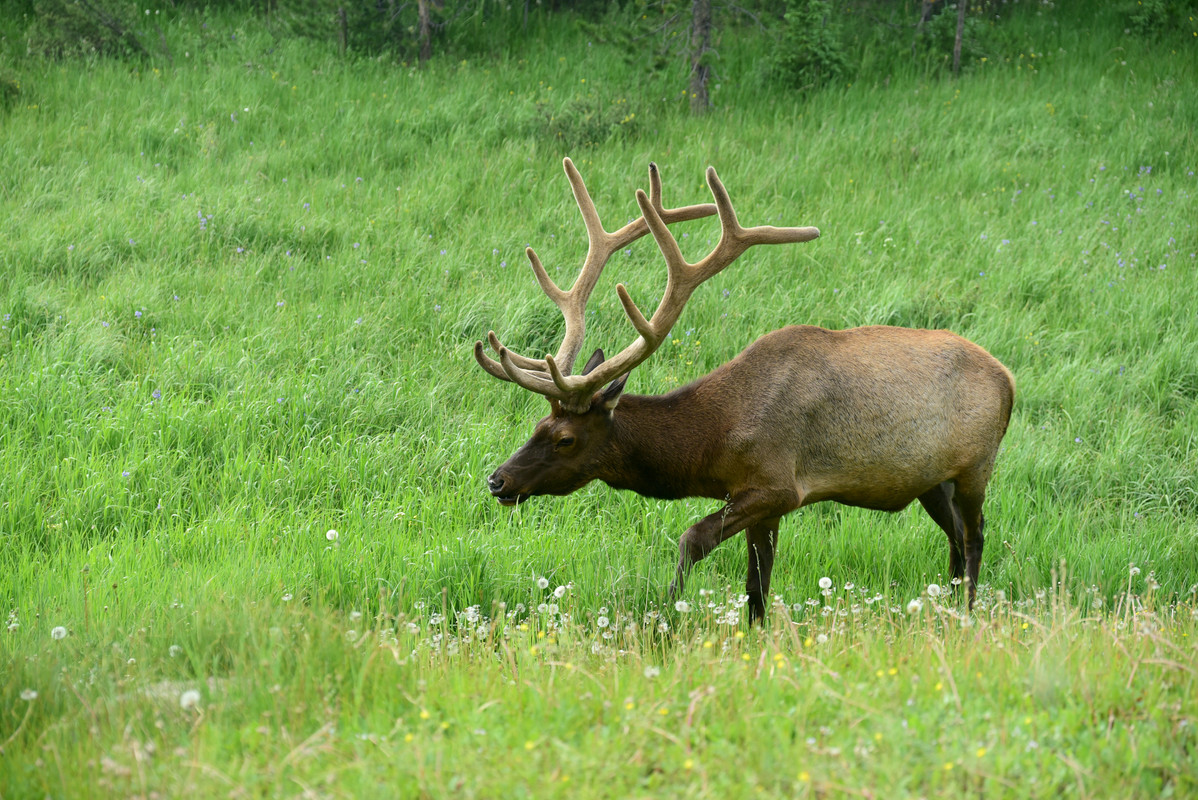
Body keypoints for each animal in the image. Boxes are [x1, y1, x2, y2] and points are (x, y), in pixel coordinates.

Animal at [472, 155, 1015, 617]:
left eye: (566, 439)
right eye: (537, 424)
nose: (498, 480)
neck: (716, 441)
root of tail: (1010, 380)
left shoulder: (778, 486)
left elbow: (693, 540)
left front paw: (666, 610)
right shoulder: (762, 503)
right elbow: (757, 589)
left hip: (976, 465)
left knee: (974, 536)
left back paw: (967, 613)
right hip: (930, 478)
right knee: (955, 537)